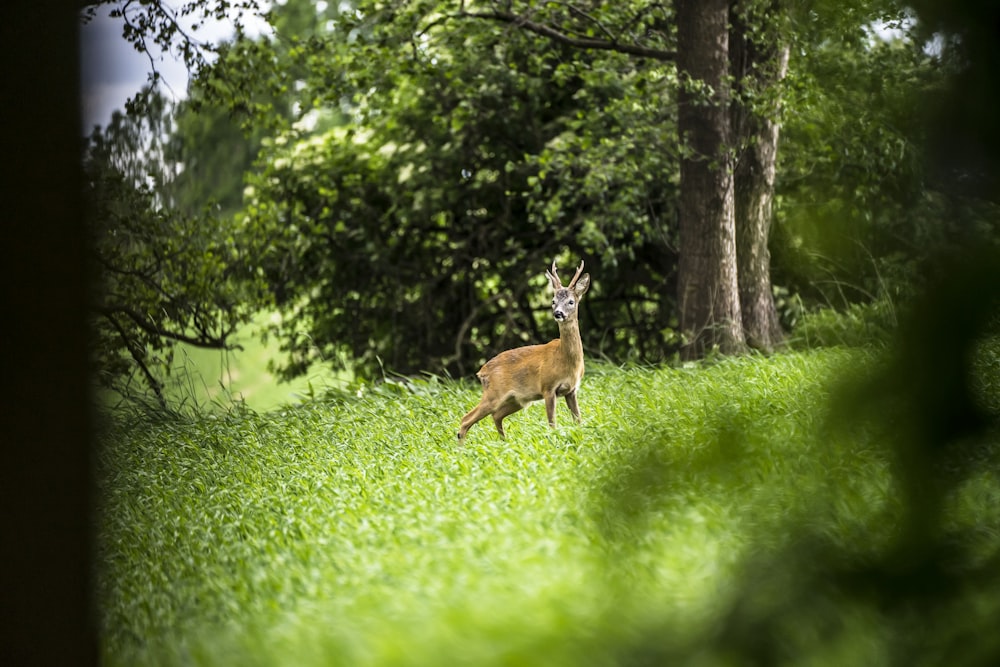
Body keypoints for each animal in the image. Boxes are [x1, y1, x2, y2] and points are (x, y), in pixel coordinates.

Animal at [458, 260, 588, 444]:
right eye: (553, 301)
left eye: (571, 301)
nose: (558, 313)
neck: (566, 360)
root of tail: (481, 372)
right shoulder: (547, 387)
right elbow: (552, 423)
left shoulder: (571, 390)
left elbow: (578, 420)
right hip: (493, 395)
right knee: (466, 419)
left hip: (516, 400)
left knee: (496, 416)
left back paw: (504, 443)